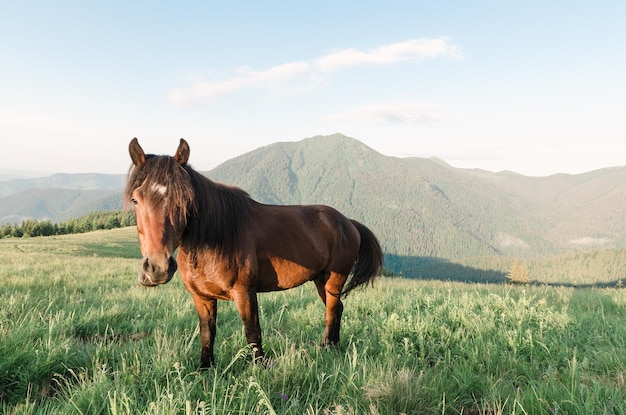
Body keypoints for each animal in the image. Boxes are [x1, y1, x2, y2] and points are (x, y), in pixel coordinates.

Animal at [124, 138, 382, 368]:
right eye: (136, 199)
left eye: (185, 200)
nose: (157, 268)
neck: (217, 237)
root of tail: (346, 222)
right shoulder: (201, 297)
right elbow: (207, 332)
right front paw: (205, 369)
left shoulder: (245, 292)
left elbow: (252, 330)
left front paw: (260, 368)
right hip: (321, 280)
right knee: (336, 308)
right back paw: (332, 346)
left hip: (334, 280)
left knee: (332, 309)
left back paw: (328, 347)